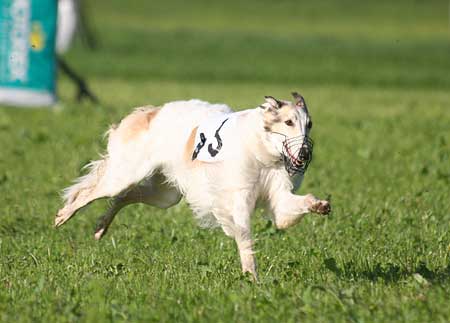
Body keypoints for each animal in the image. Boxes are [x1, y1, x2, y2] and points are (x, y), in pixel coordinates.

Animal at [55, 92, 330, 280]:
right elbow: (244, 238)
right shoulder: (238, 197)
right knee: (89, 192)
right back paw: (63, 215)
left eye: (309, 124)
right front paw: (251, 276)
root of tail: (149, 112)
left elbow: (289, 210)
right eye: (288, 122)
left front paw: (320, 205)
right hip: (124, 174)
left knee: (123, 197)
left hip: (165, 194)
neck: (262, 150)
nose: (305, 154)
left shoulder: (278, 195)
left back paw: (101, 227)